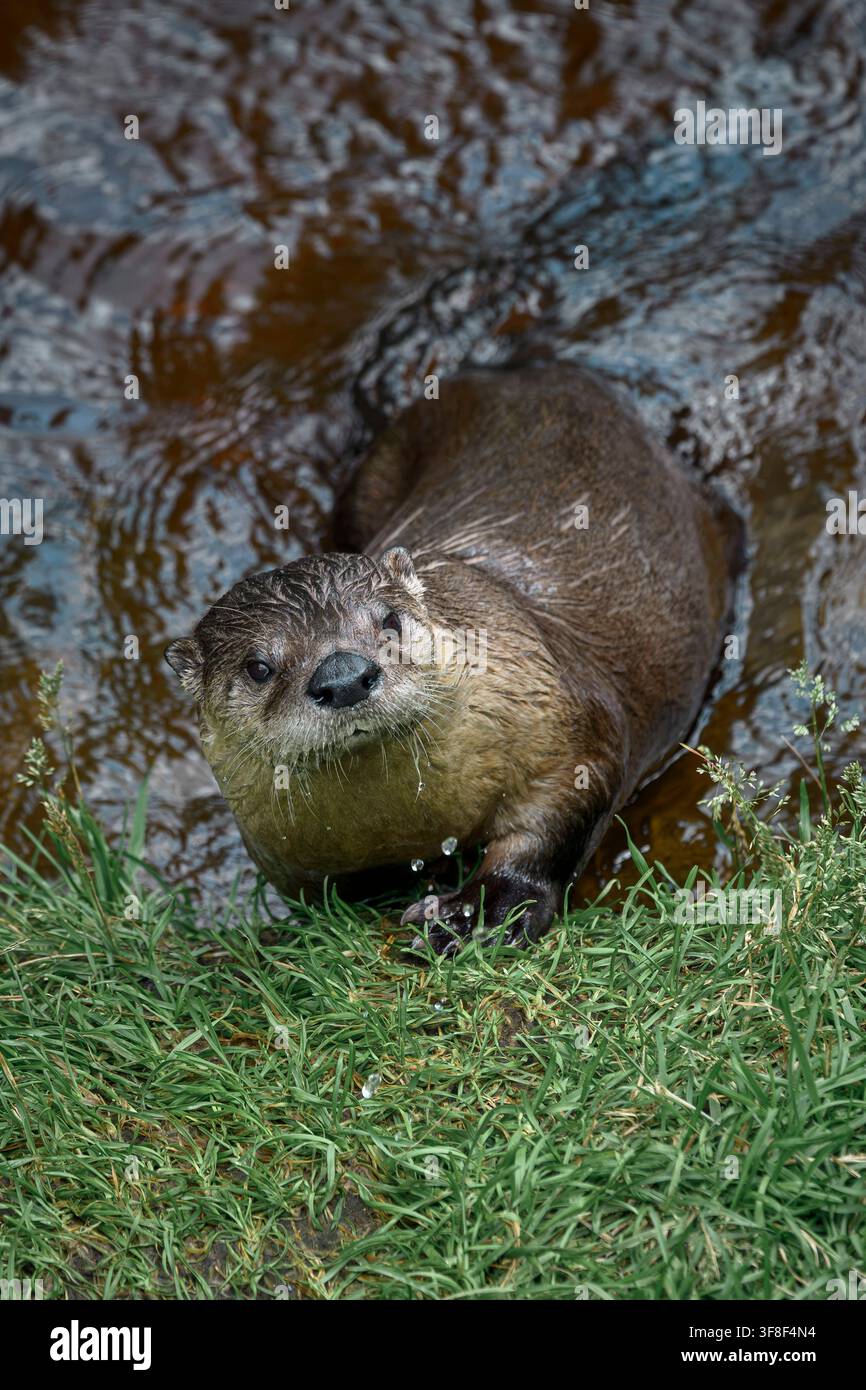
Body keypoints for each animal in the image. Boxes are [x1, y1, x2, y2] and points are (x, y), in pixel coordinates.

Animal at [165, 365, 741, 955]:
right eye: (259, 667)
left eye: (390, 621)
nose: (343, 676)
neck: (411, 826)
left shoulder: (567, 722)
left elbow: (553, 828)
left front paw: (477, 913)